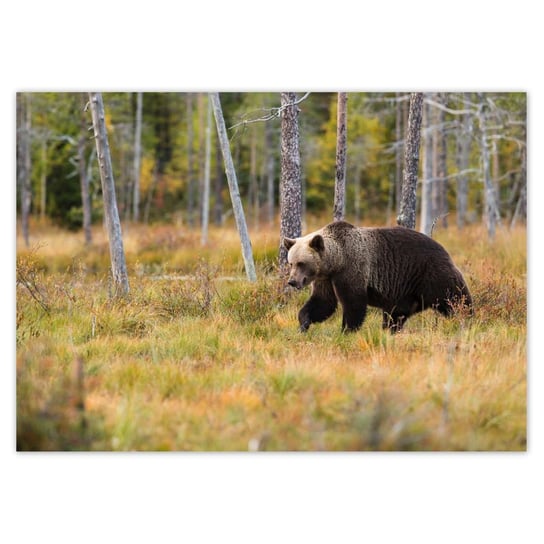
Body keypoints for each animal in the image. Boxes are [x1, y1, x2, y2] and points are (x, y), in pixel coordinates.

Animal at [284, 220, 472, 332]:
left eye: (301, 263)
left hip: (431, 274)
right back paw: (390, 330)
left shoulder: (352, 269)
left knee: (455, 298)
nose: (292, 281)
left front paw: (347, 330)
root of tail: (444, 249)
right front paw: (303, 323)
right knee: (395, 315)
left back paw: (467, 319)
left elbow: (353, 303)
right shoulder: (326, 279)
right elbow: (323, 302)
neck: (336, 261)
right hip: (405, 292)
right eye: (291, 263)